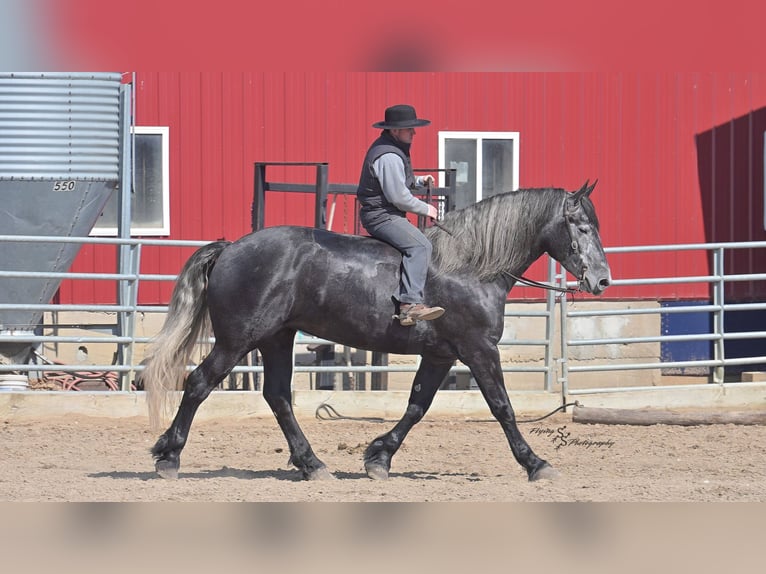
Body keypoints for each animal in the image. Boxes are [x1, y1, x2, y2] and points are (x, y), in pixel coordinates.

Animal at [144, 180, 611, 482]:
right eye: (583, 228)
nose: (603, 280)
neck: (472, 267)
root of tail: (231, 248)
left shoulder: (441, 355)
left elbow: (417, 406)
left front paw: (379, 457)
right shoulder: (478, 350)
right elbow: (502, 408)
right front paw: (536, 464)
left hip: (277, 339)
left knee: (277, 397)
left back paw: (312, 465)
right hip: (238, 341)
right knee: (199, 383)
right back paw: (169, 457)